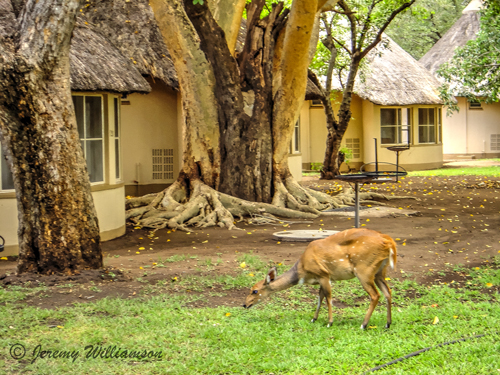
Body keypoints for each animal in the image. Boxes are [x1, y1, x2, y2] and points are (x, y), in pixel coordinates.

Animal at [244, 226, 396, 328]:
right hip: (380, 271)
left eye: (255, 291)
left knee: (375, 295)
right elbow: (319, 298)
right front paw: (313, 319)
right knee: (388, 292)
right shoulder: (320, 279)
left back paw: (363, 325)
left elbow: (328, 298)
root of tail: (389, 241)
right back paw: (387, 323)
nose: (245, 304)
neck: (302, 270)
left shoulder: (324, 274)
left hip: (364, 270)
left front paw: (329, 322)